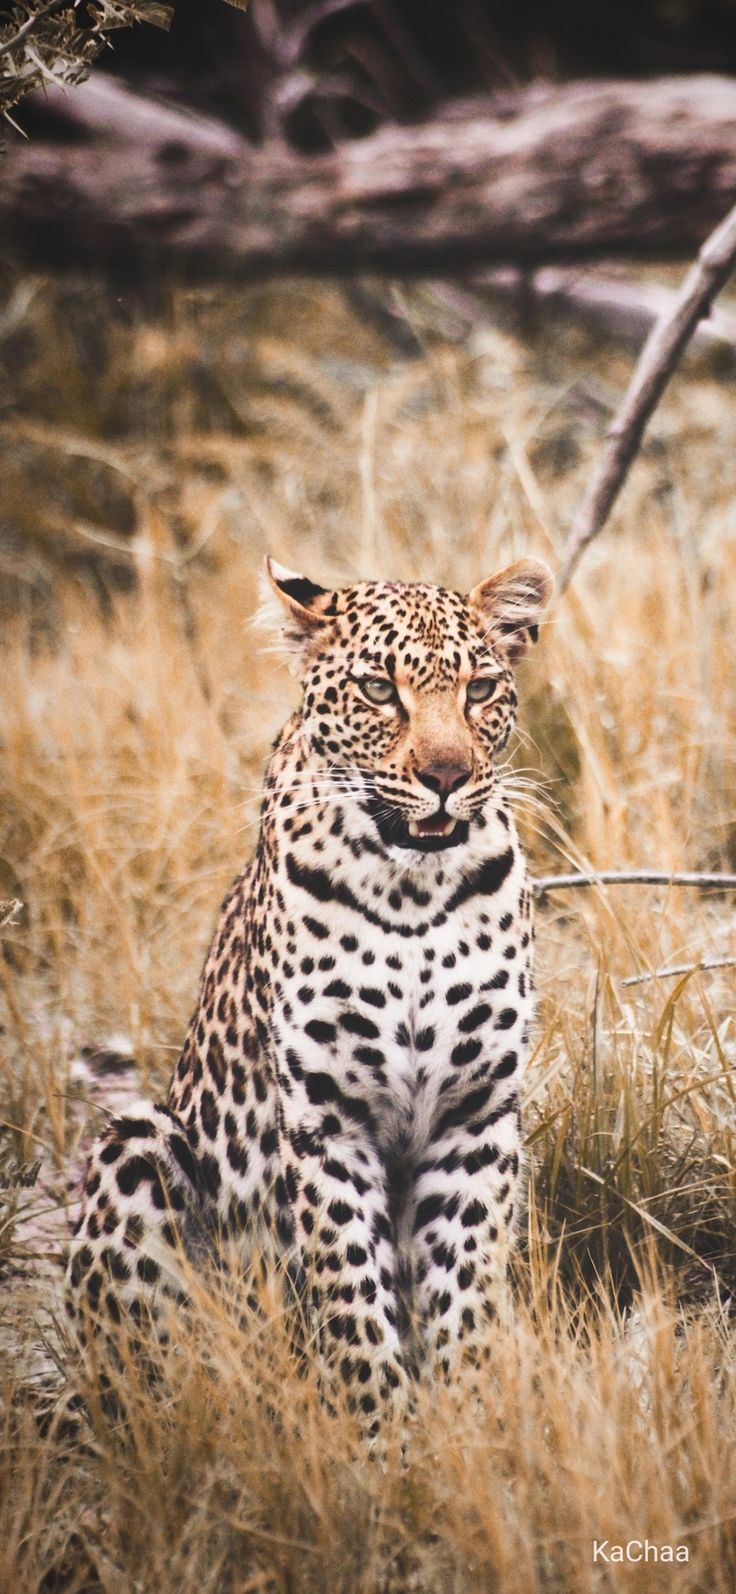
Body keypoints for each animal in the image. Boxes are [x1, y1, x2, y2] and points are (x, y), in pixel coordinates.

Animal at [66, 554, 553, 1432]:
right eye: (379, 689)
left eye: (479, 690)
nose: (447, 776)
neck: (413, 893)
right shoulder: (327, 1118)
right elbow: (352, 1296)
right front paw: (381, 1440)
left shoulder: (474, 1113)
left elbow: (462, 1289)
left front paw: (468, 1432)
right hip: (139, 1140)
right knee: (143, 1374)